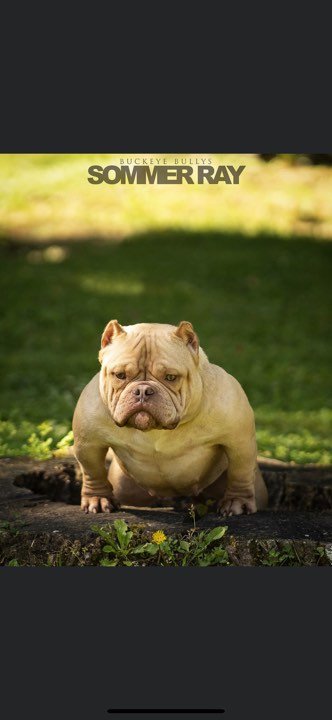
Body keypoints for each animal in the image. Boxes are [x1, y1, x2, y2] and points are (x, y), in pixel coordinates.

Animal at [72, 320, 268, 512]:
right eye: (120, 375)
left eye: (171, 377)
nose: (142, 391)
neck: (155, 430)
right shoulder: (88, 444)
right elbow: (93, 472)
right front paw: (98, 498)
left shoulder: (239, 441)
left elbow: (240, 473)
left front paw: (237, 501)